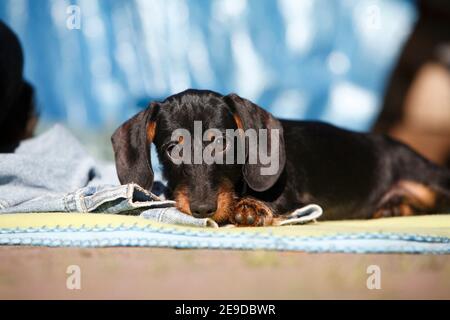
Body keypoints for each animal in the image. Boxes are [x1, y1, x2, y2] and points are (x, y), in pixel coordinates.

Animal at [111, 89, 450, 226]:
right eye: (173, 149)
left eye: (222, 144)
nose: (203, 209)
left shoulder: (298, 196)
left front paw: (251, 208)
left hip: (423, 177)